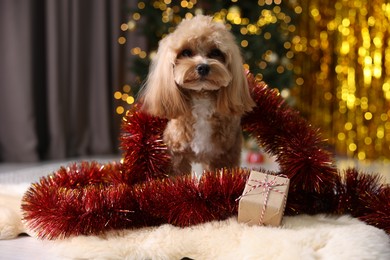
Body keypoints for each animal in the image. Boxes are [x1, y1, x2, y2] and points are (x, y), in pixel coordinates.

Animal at [140, 15, 256, 176]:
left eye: (216, 52)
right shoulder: (176, 155)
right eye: (186, 52)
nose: (203, 67)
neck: (201, 96)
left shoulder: (224, 155)